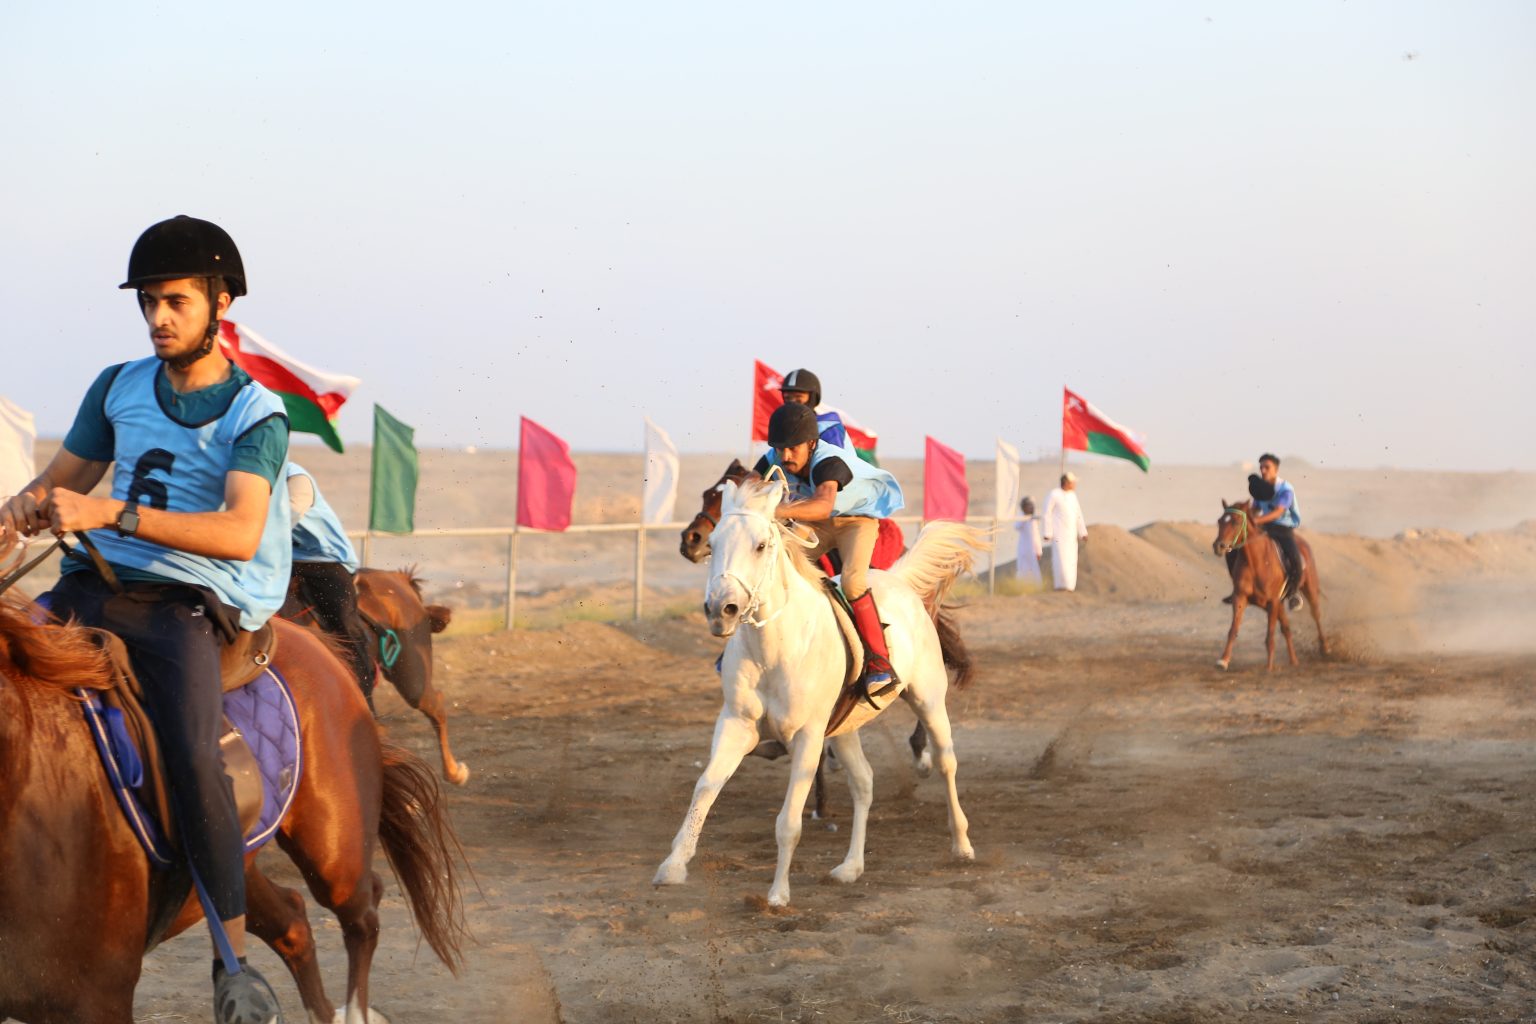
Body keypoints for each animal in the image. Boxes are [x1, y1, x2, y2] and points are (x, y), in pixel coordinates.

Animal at [0, 593, 466, 1024]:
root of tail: (311, 639)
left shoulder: (96, 1001)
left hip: (335, 857)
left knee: (362, 915)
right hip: (237, 865)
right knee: (293, 923)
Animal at [654, 477, 985, 907]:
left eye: (761, 545)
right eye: (715, 542)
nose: (721, 609)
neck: (774, 649)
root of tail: (899, 580)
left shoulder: (808, 737)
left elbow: (789, 821)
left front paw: (778, 893)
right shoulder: (736, 725)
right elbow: (705, 789)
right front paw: (674, 865)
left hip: (928, 699)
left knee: (946, 762)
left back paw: (961, 844)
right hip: (844, 729)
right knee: (863, 782)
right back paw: (850, 867)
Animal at [1212, 500, 1329, 671]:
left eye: (1236, 522)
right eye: (1220, 521)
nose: (1218, 546)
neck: (1256, 562)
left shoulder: (1272, 602)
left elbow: (1270, 635)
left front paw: (1269, 667)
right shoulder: (1240, 598)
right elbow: (1233, 629)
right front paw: (1223, 660)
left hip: (1309, 589)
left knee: (1316, 614)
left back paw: (1325, 647)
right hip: (1279, 604)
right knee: (1286, 628)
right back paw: (1294, 660)